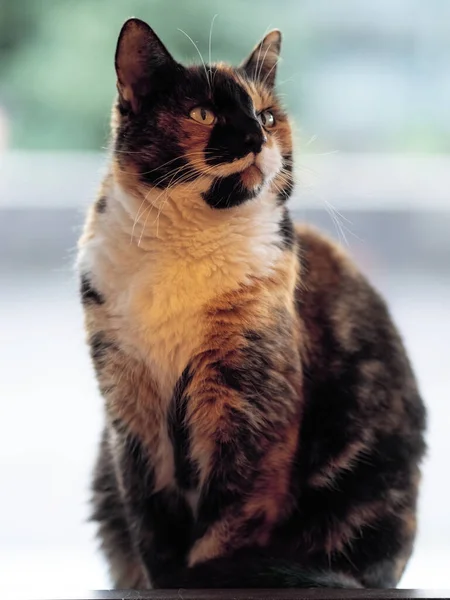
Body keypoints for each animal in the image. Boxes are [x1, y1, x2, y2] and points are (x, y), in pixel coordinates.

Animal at [79, 18, 428, 592]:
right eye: (202, 113)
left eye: (266, 116)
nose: (257, 137)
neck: (187, 246)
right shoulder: (131, 410)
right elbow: (150, 527)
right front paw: (161, 581)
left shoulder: (254, 409)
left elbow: (228, 530)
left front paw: (202, 577)